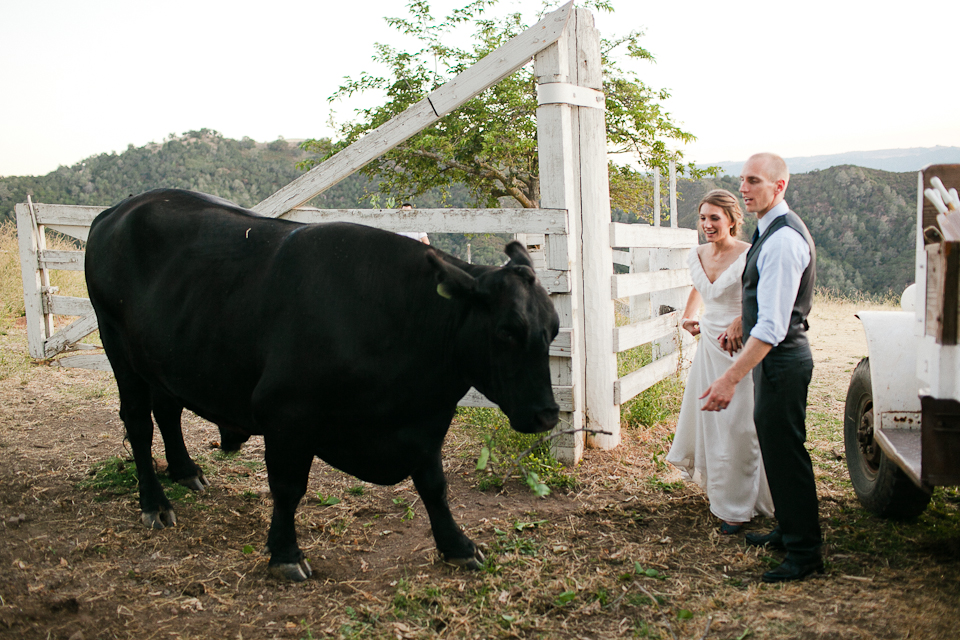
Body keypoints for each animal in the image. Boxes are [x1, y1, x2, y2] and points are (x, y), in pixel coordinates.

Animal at [87, 189, 564, 580]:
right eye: (506, 331)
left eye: (554, 328)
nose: (547, 414)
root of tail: (118, 209)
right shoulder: (286, 415)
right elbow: (288, 487)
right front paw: (285, 555)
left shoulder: (424, 423)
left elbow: (433, 485)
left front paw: (458, 546)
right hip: (118, 347)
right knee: (138, 423)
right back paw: (154, 503)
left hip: (163, 357)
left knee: (168, 409)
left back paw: (185, 471)